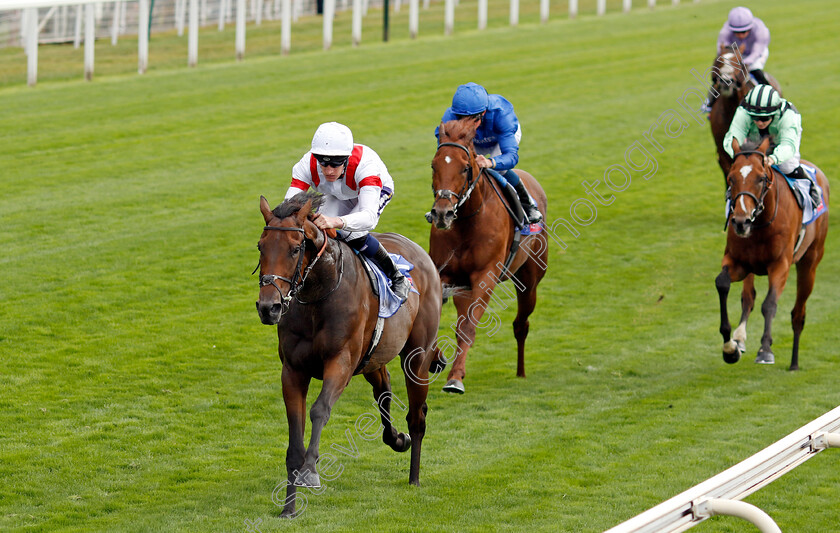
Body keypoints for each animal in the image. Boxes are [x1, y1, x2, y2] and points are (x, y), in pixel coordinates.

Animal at [254, 191, 440, 516]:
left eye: (294, 249)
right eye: (260, 246)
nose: (269, 308)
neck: (318, 294)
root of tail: (419, 251)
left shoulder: (340, 362)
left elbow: (319, 410)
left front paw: (310, 471)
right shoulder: (293, 370)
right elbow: (294, 436)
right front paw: (289, 508)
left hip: (417, 357)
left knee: (417, 417)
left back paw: (414, 477)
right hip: (373, 358)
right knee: (384, 391)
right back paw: (396, 439)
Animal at [426, 120, 552, 394]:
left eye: (465, 168)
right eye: (434, 165)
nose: (442, 213)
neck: (466, 221)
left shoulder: (485, 276)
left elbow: (468, 329)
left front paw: (455, 379)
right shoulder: (445, 274)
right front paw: (436, 360)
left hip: (530, 281)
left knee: (520, 324)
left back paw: (520, 371)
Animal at [716, 137, 828, 370]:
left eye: (760, 178)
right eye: (731, 178)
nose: (740, 221)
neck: (760, 224)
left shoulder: (780, 265)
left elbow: (769, 304)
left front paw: (765, 350)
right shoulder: (738, 262)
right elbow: (722, 284)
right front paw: (729, 347)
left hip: (810, 262)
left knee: (798, 314)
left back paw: (794, 363)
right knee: (748, 297)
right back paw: (740, 339)